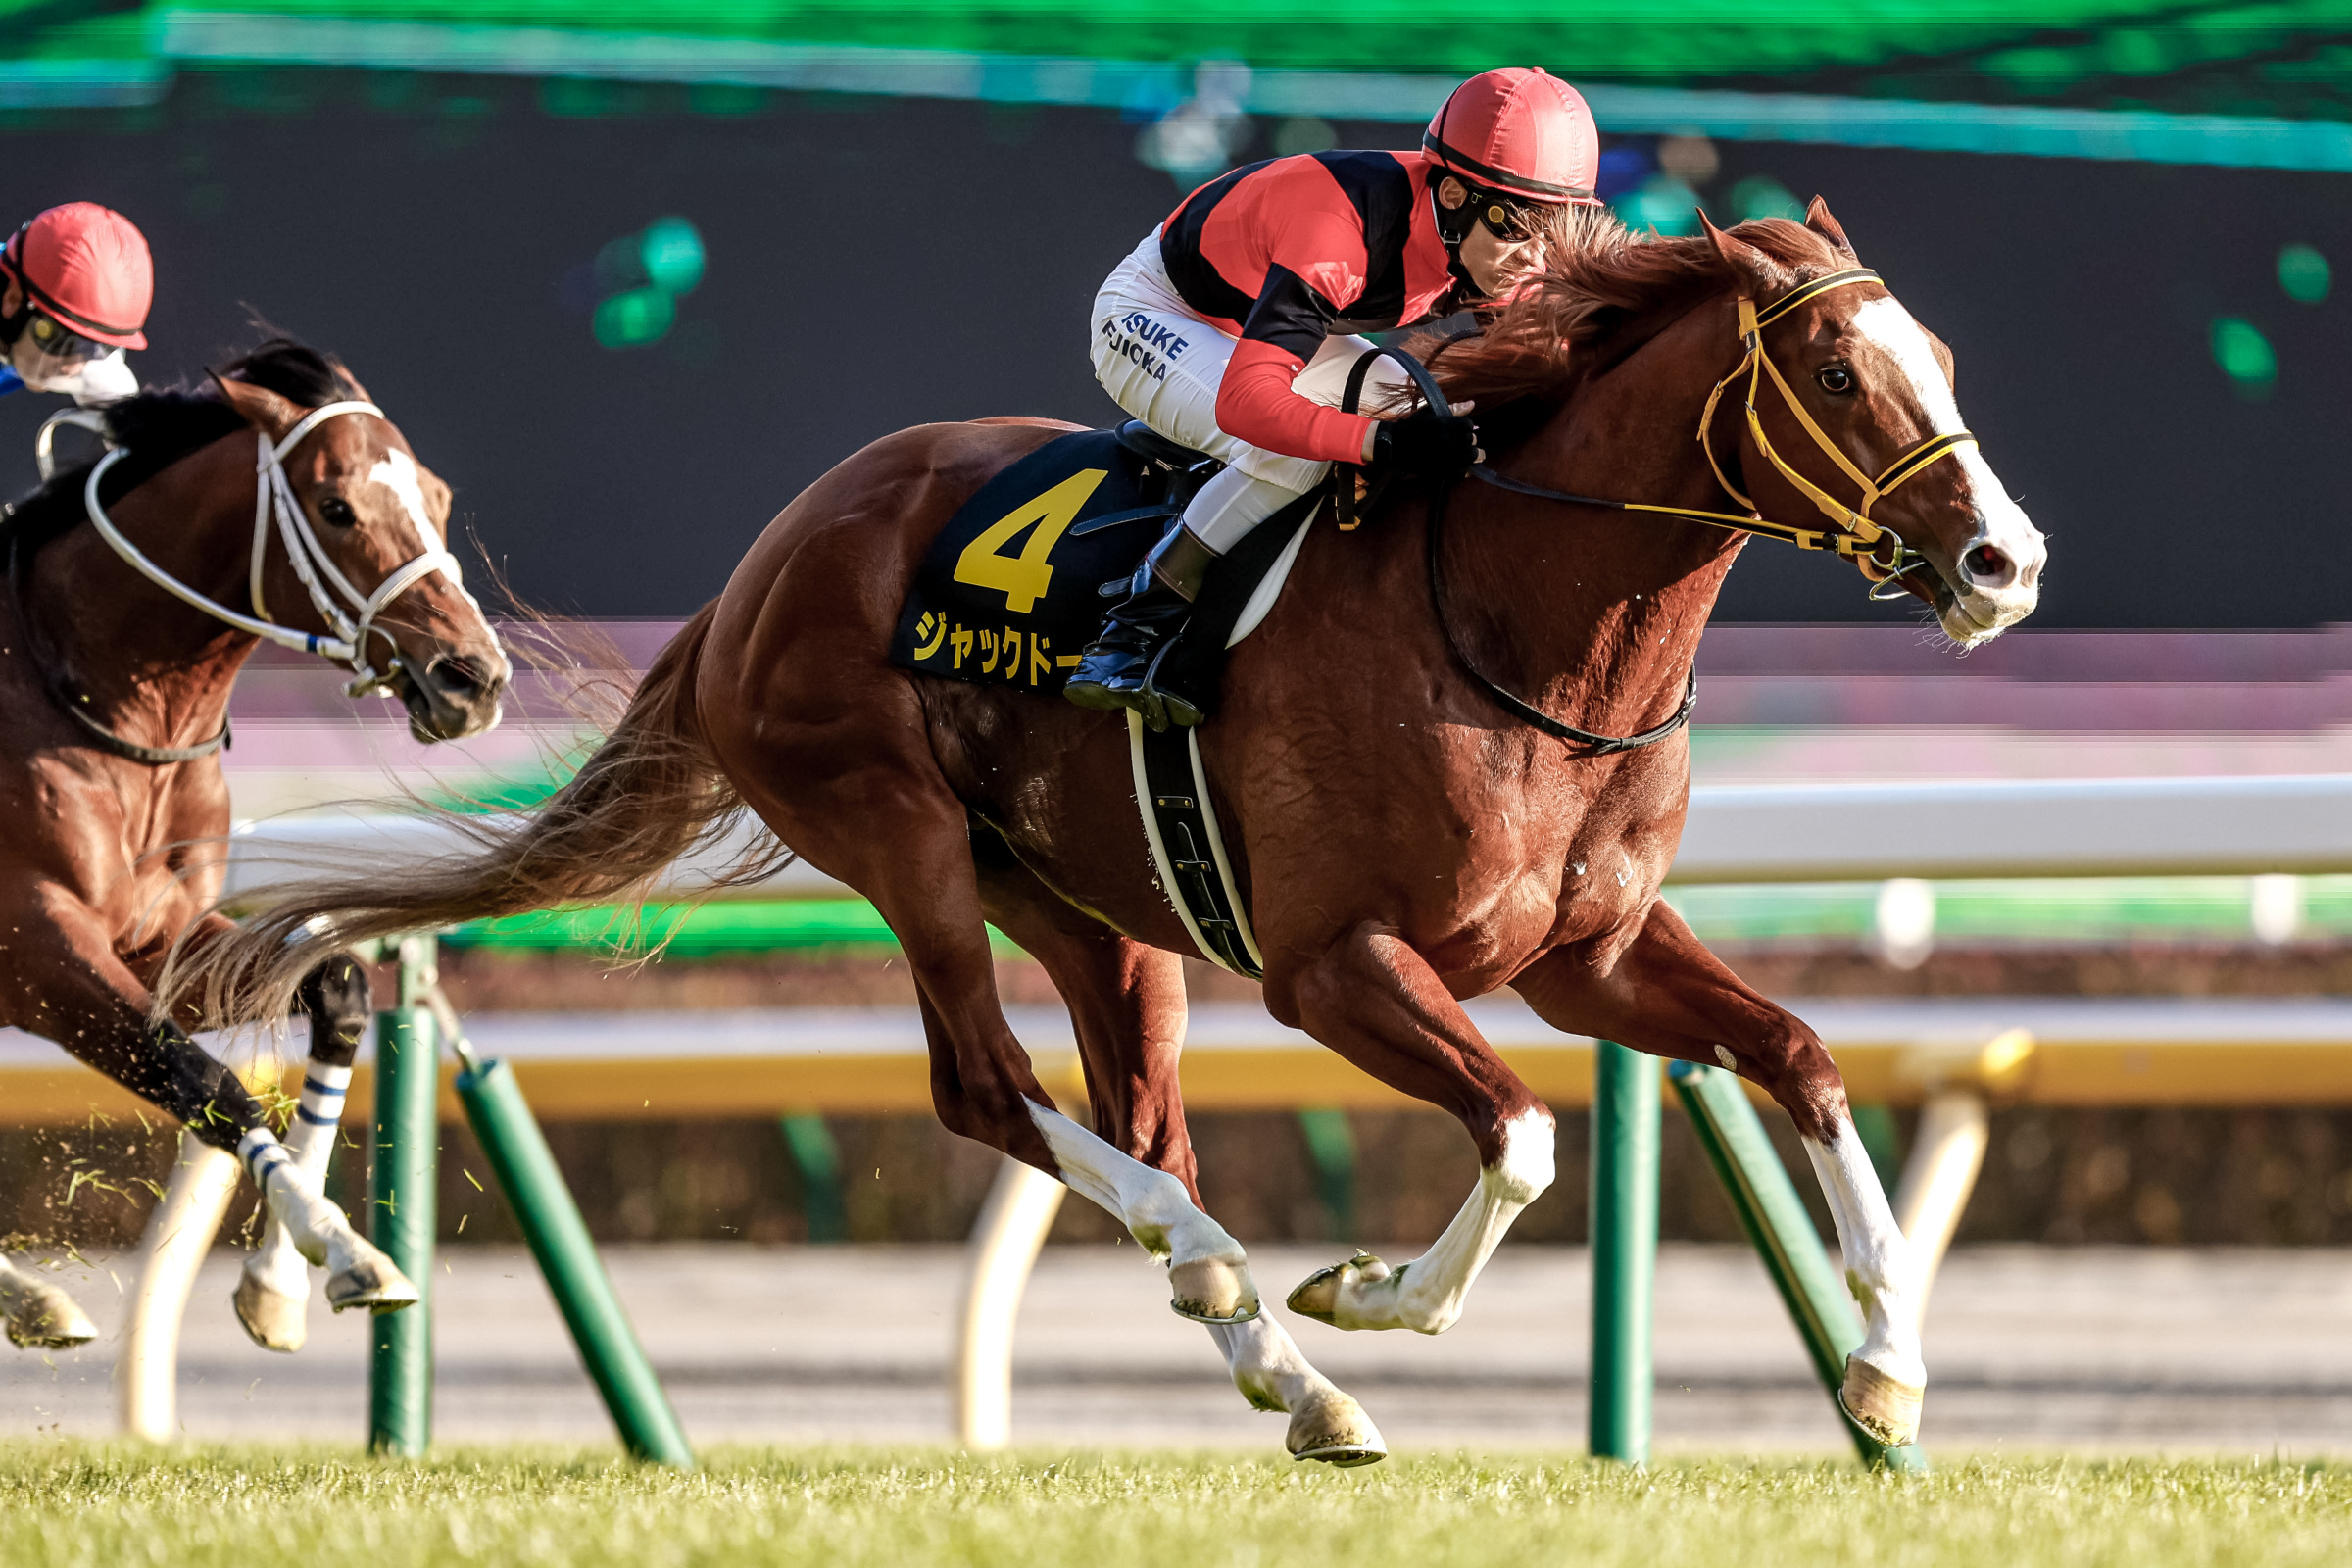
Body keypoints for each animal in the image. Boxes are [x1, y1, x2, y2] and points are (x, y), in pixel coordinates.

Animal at [0, 340, 510, 1353]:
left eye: (434, 497)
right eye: (337, 505)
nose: (472, 677)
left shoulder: (156, 938)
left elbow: (339, 987)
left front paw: (277, 1284)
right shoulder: (36, 947)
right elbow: (204, 1079)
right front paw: (345, 1251)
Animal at [178, 205, 2041, 1457]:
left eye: (1945, 365)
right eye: (1833, 369)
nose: (2004, 562)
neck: (1520, 619)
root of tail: (761, 567)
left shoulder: (1590, 954)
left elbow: (1799, 1056)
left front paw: (1889, 1370)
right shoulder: (1332, 966)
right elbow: (1519, 1135)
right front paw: (1372, 1290)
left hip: (1091, 909)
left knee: (1136, 1116)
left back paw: (1287, 1371)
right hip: (901, 836)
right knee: (987, 1088)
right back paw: (1246, 1292)